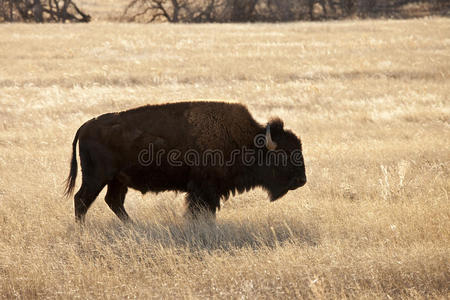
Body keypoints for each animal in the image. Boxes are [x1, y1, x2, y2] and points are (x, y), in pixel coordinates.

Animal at [64, 102, 306, 221]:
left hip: (117, 181)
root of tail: (85, 126)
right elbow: (200, 212)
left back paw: (133, 227)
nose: (301, 180)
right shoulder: (204, 190)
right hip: (96, 178)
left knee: (114, 202)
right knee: (82, 201)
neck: (245, 140)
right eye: (283, 154)